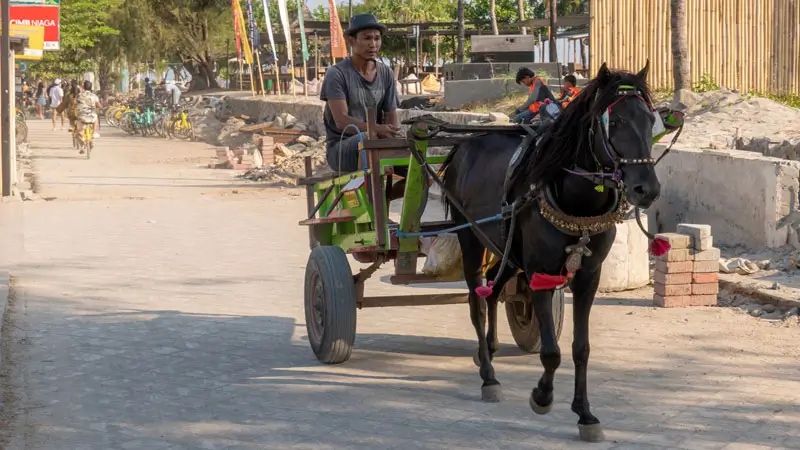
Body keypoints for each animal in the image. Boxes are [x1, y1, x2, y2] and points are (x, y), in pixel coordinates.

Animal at [440, 60, 660, 442]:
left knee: (493, 290)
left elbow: (581, 348)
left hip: (508, 251)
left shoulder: (588, 277)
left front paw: (585, 414)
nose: (646, 188)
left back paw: (490, 350)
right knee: (476, 300)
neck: (577, 202)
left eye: (650, 119)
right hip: (470, 237)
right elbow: (551, 352)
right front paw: (542, 396)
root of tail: (465, 144)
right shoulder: (541, 273)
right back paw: (488, 375)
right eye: (615, 121)